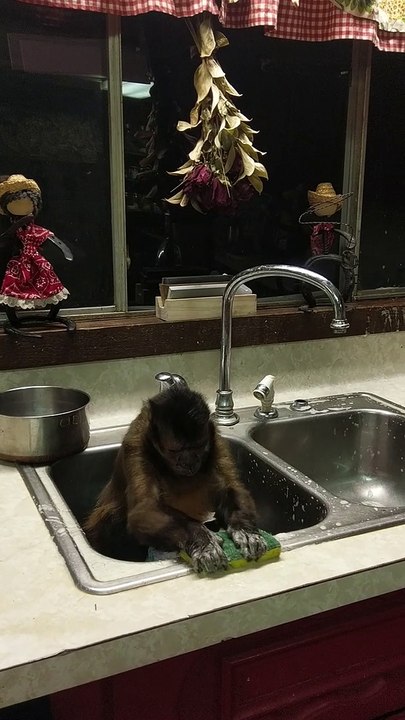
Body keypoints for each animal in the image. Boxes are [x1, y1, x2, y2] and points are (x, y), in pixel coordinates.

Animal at [84, 385, 268, 573]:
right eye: (175, 451)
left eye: (198, 446)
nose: (189, 463)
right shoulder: (135, 445)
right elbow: (145, 509)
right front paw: (202, 540)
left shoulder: (215, 439)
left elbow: (231, 489)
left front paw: (244, 529)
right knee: (113, 516)